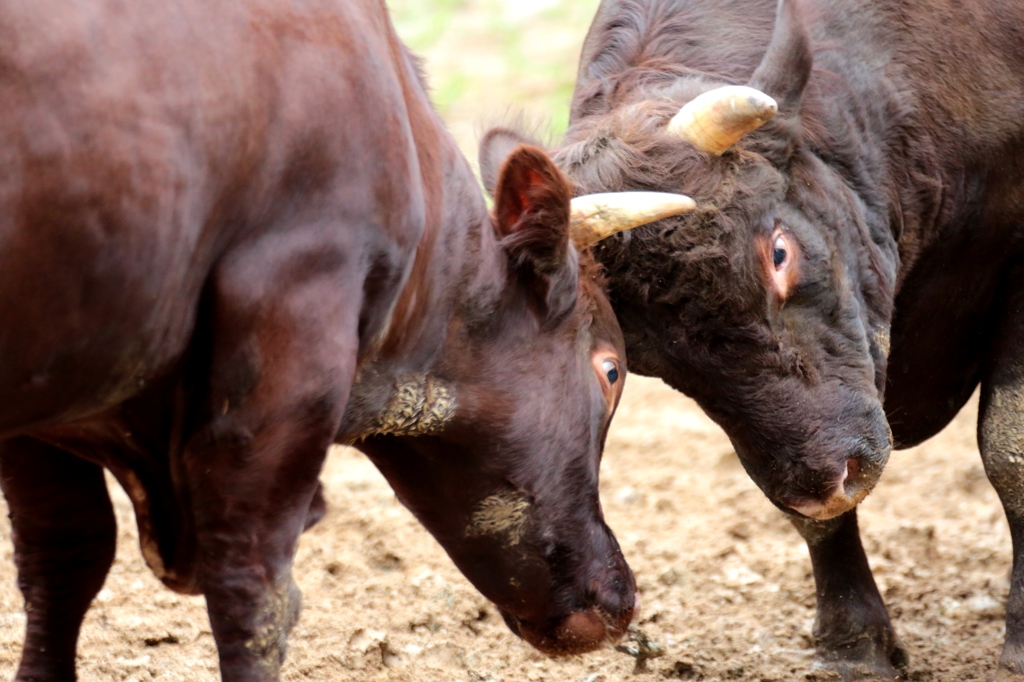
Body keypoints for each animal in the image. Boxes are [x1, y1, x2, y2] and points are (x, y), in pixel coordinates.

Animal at [0, 0, 696, 675]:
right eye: (611, 370)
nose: (618, 598)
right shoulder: (292, 347)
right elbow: (255, 598)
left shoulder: (48, 409)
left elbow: (66, 560)